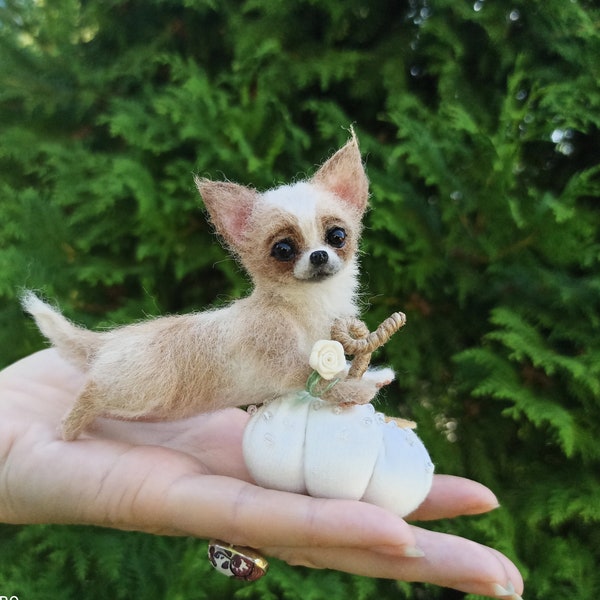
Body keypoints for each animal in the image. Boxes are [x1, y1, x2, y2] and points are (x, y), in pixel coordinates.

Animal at [22, 132, 394, 440]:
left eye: (337, 236)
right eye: (283, 250)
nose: (318, 255)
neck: (306, 304)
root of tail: (108, 342)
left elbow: (340, 369)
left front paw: (373, 374)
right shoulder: (285, 359)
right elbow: (323, 381)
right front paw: (356, 391)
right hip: (140, 389)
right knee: (91, 393)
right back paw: (68, 430)